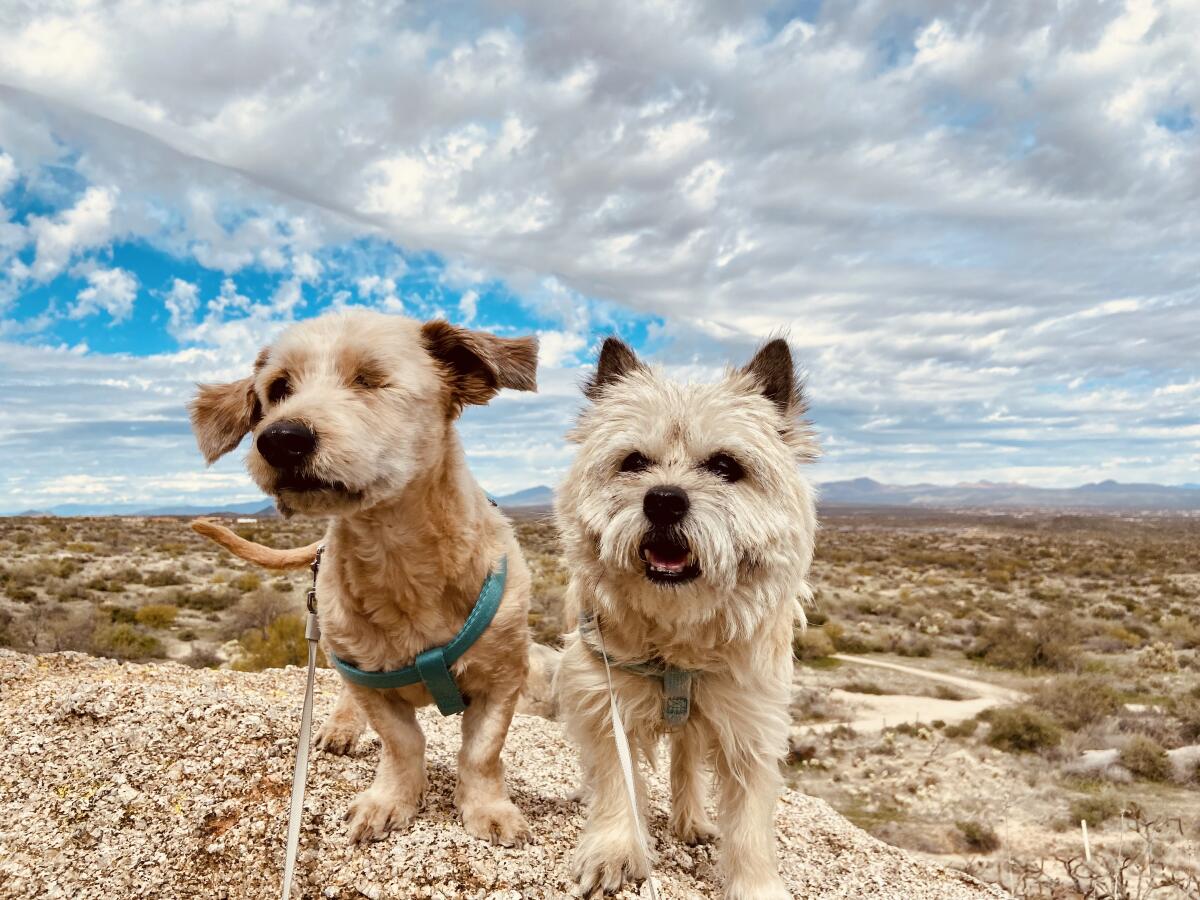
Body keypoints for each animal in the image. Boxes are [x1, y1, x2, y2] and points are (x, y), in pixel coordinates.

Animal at [189, 309, 537, 844]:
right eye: (279, 388)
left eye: (370, 380)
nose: (280, 439)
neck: (399, 560)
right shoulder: (368, 681)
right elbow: (402, 741)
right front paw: (391, 800)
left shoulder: (502, 679)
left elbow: (482, 752)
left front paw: (487, 808)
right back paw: (340, 727)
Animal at [552, 340, 816, 900]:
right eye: (633, 461)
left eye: (725, 465)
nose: (664, 500)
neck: (678, 638)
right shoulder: (602, 697)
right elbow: (615, 780)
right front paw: (614, 849)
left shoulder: (752, 725)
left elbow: (750, 824)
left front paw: (755, 885)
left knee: (687, 760)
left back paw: (691, 819)